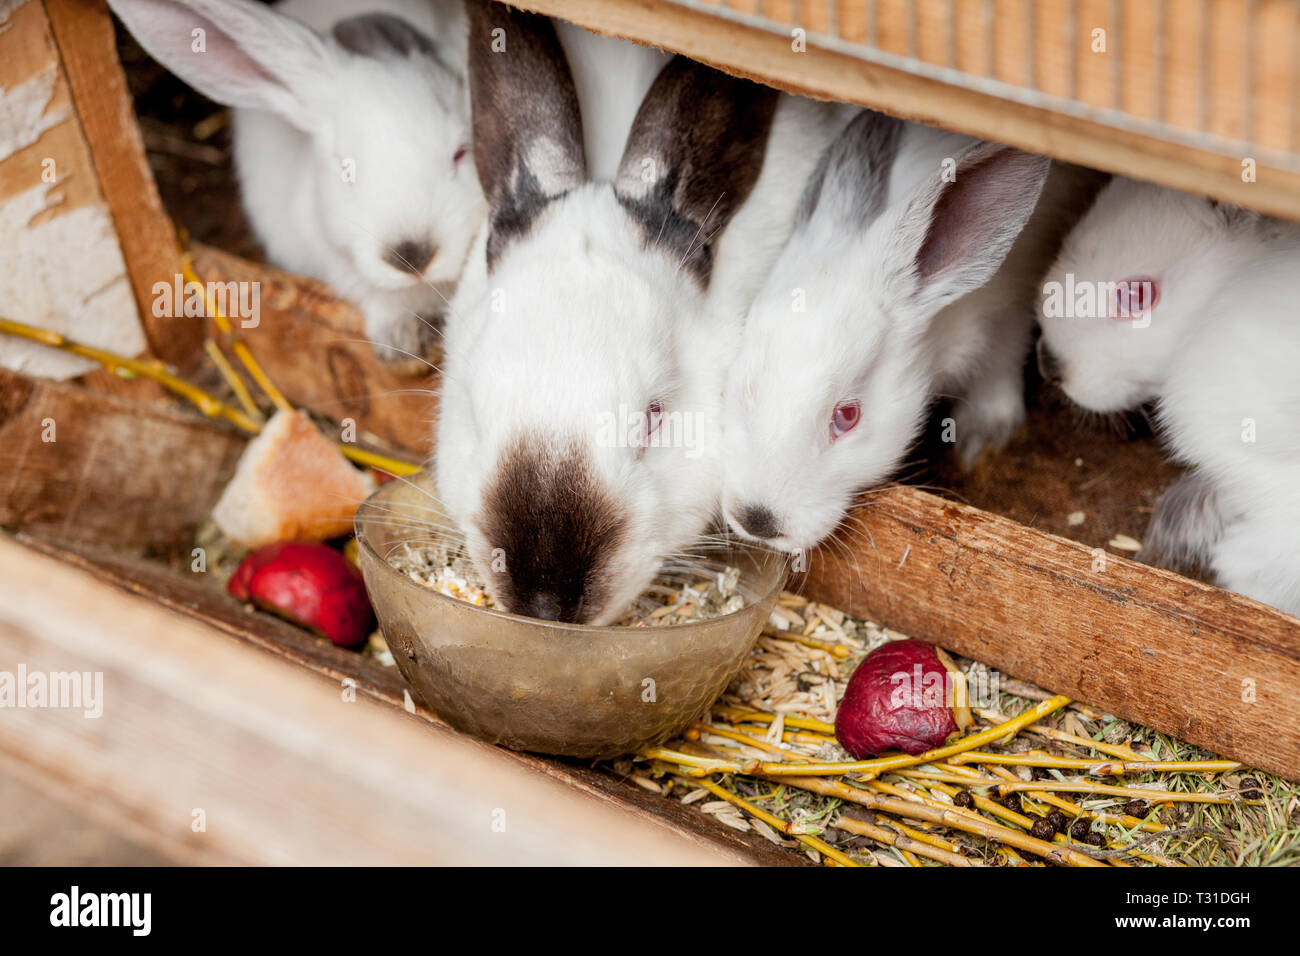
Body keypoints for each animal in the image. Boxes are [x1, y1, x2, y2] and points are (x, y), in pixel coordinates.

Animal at [719, 108, 1085, 555]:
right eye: (749, 387)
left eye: (848, 416)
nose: (756, 520)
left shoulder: (1007, 313)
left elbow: (999, 367)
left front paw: (981, 438)